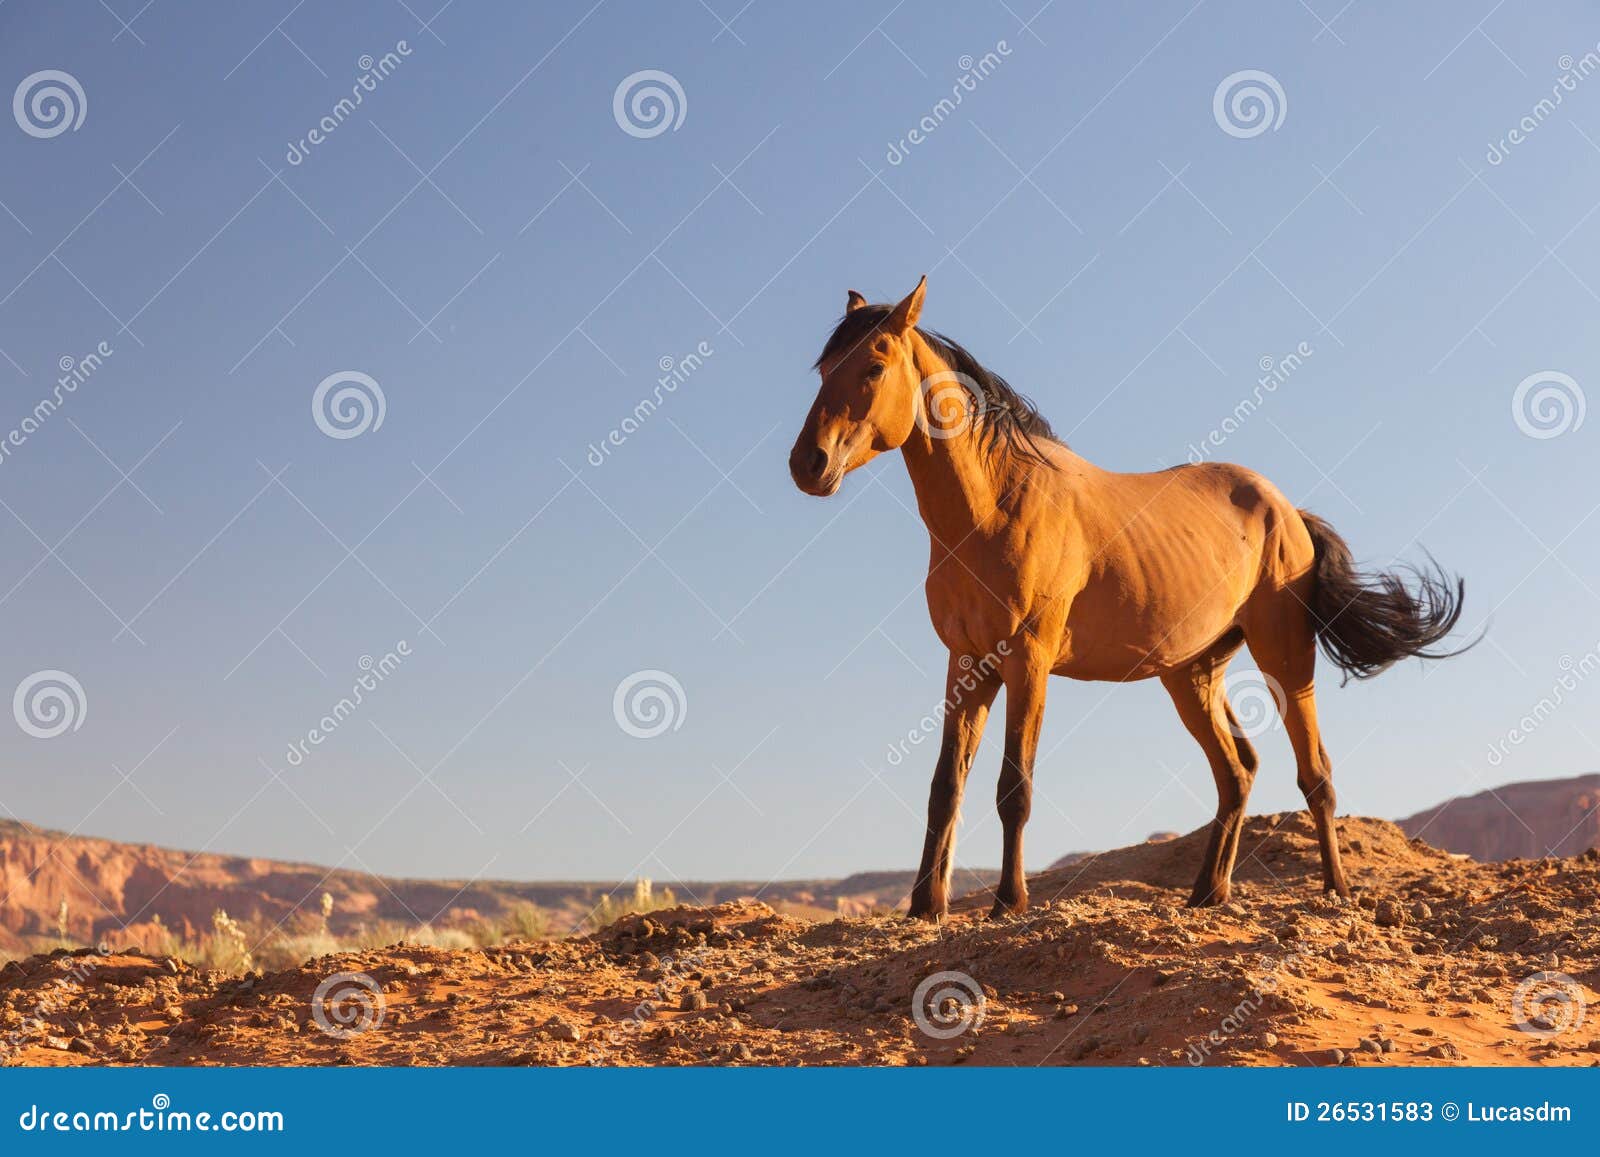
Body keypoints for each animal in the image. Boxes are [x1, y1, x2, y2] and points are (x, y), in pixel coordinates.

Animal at [784, 280, 1465, 921]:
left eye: (874, 366)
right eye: (824, 368)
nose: (807, 464)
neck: (995, 505)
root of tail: (1286, 511)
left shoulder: (1028, 661)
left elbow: (1014, 787)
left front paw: (1010, 902)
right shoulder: (967, 664)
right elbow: (945, 786)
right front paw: (926, 907)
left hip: (1285, 657)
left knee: (1315, 772)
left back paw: (1336, 891)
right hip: (1192, 673)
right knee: (1237, 771)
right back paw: (1206, 893)